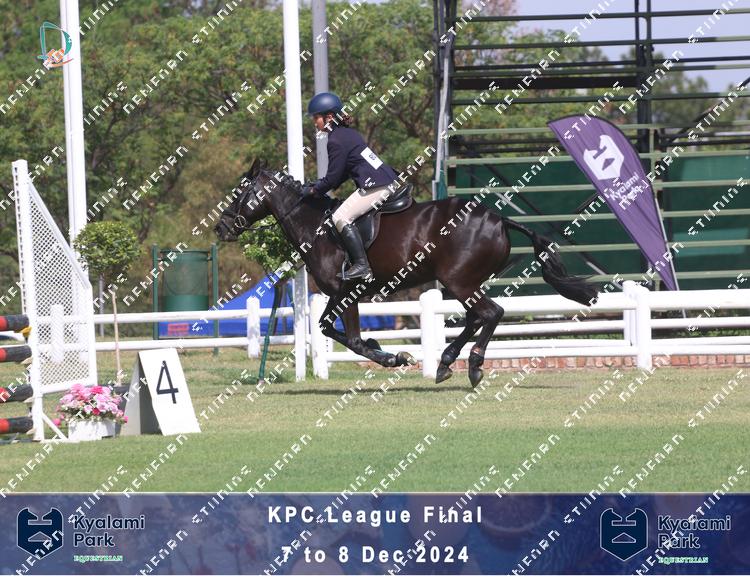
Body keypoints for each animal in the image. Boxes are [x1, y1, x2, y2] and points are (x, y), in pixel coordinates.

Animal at [215, 160, 598, 388]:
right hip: (463, 282)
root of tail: (498, 218)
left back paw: (472, 366)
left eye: (239, 193)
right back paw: (446, 363)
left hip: (459, 281)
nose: (220, 228)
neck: (316, 225)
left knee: (491, 313)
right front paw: (385, 350)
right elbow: (335, 332)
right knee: (477, 317)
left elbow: (347, 337)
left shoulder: (344, 291)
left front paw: (394, 357)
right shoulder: (343, 295)